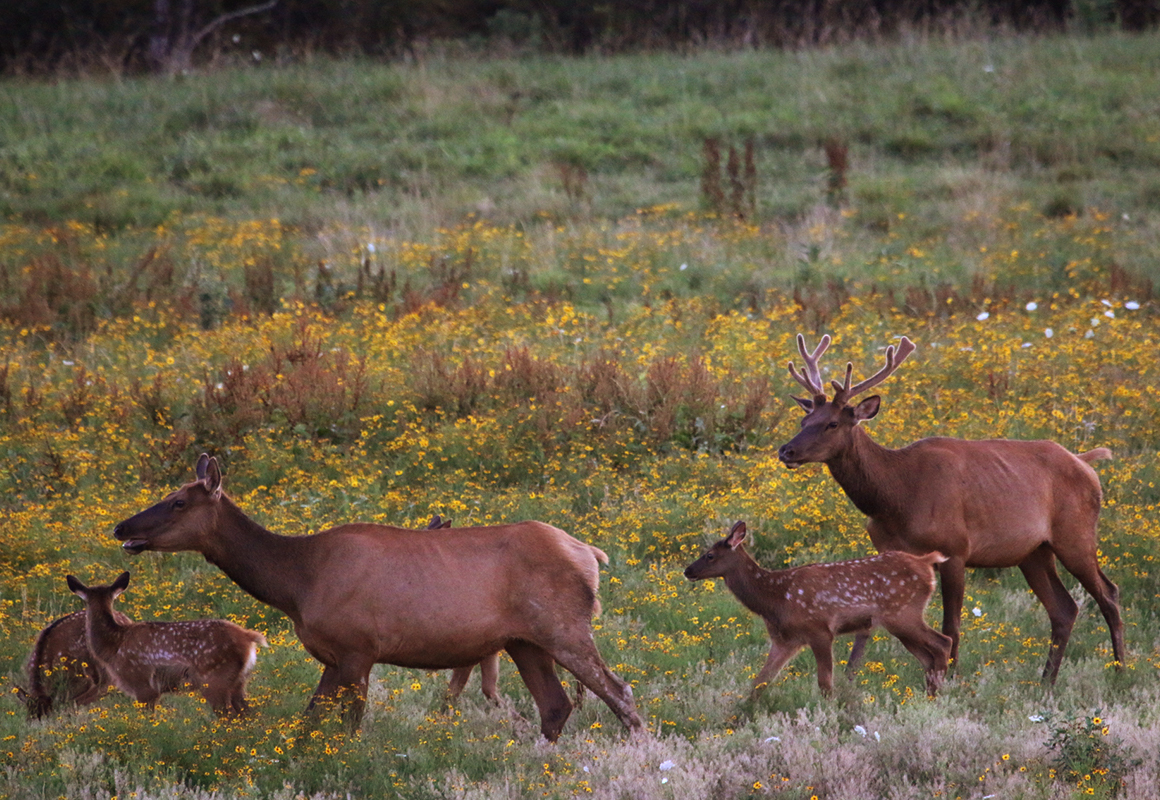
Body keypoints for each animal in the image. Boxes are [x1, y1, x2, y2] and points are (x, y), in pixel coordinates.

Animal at [110, 452, 644, 737]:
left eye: (179, 502)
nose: (122, 528)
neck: (295, 583)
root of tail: (591, 554)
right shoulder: (332, 655)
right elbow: (308, 723)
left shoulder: (358, 648)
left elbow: (349, 726)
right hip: (524, 641)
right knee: (556, 705)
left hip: (563, 627)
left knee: (619, 690)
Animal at [682, 519, 946, 695]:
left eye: (710, 555)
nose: (687, 570)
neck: (775, 599)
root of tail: (926, 562)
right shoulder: (785, 640)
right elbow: (760, 682)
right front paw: (739, 717)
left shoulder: (819, 629)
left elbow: (825, 682)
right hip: (900, 621)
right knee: (928, 657)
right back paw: (931, 694)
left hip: (903, 613)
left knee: (942, 642)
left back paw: (940, 693)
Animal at [779, 331, 1122, 677]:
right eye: (804, 419)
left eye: (833, 423)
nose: (786, 451)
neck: (895, 498)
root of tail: (1085, 463)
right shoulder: (887, 551)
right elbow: (869, 625)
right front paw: (850, 677)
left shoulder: (955, 548)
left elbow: (952, 625)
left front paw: (951, 679)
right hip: (1033, 552)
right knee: (1064, 609)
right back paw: (1046, 681)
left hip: (1075, 533)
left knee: (1109, 594)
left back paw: (1120, 670)